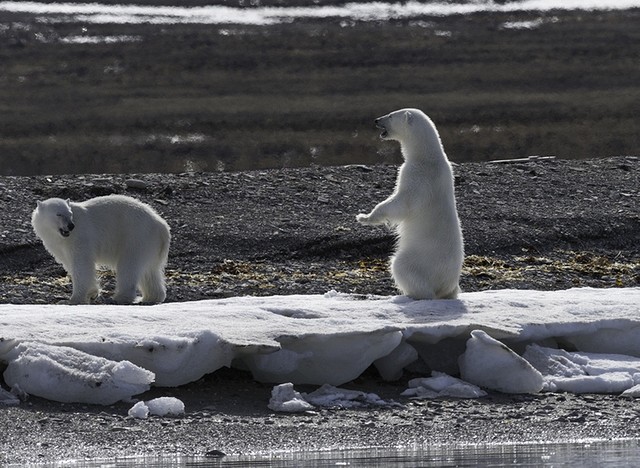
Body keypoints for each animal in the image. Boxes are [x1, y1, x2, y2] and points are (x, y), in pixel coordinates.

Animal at [30, 193, 170, 304]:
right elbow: (70, 263)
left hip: (136, 236)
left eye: (70, 214)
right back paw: (151, 297)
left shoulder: (80, 237)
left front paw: (75, 298)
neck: (60, 236)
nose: (71, 226)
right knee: (150, 271)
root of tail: (162, 226)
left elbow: (82, 264)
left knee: (129, 265)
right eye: (58, 214)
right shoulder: (60, 245)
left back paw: (120, 297)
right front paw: (92, 293)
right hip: (150, 243)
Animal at [356, 108, 464, 300]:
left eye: (391, 115)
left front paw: (365, 217)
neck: (428, 157)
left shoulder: (417, 176)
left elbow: (402, 203)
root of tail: (448, 284)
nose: (376, 120)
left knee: (401, 266)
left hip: (420, 259)